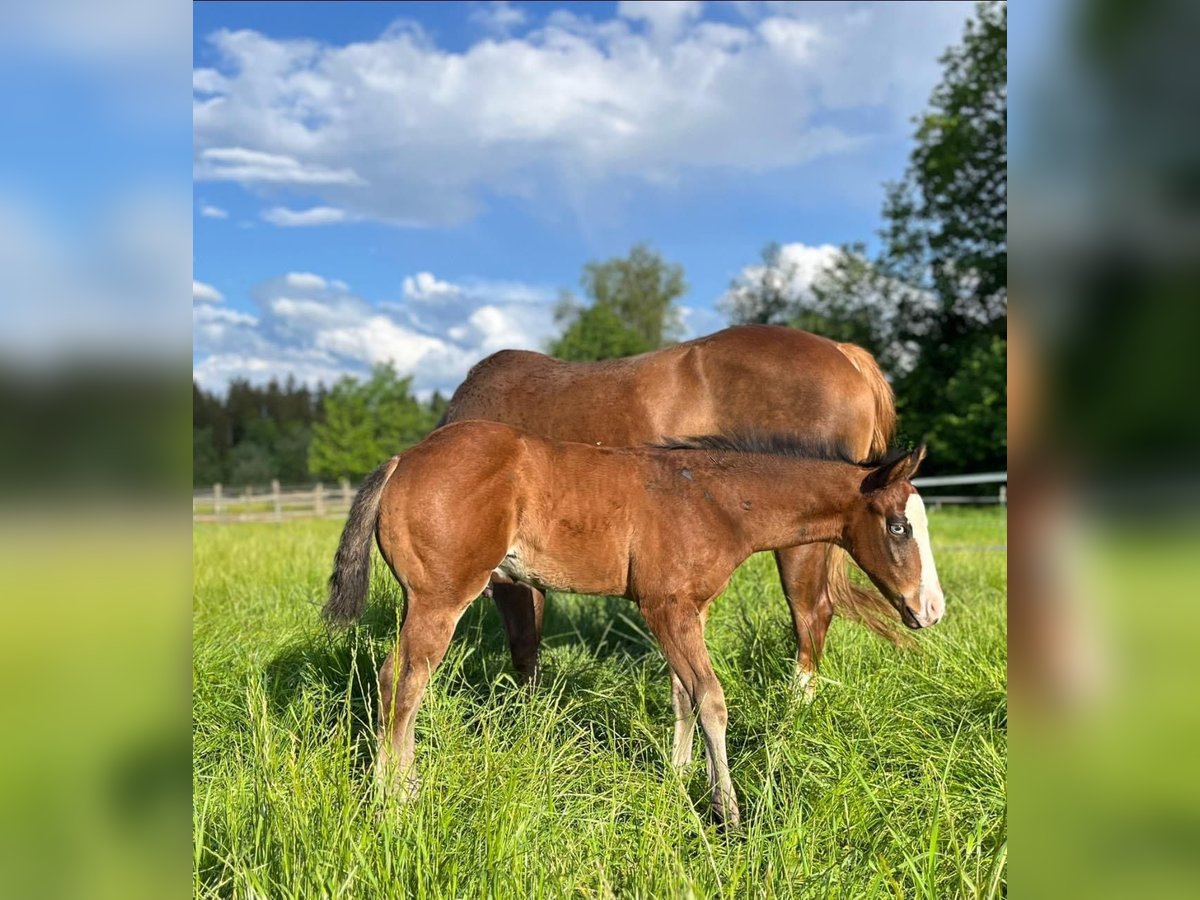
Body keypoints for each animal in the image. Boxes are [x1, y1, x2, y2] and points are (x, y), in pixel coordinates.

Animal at [324, 422, 940, 825]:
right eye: (899, 527)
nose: (931, 609)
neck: (711, 498)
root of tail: (403, 460)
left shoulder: (689, 608)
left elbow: (683, 695)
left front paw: (678, 777)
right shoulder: (665, 606)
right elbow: (712, 698)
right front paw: (728, 812)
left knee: (400, 681)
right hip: (440, 597)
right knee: (401, 681)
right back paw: (396, 797)